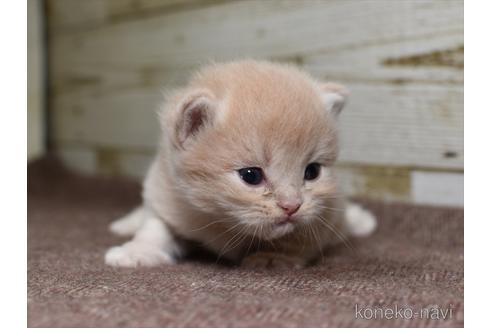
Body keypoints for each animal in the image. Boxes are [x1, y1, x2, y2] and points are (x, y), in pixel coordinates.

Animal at [105, 60, 376, 268]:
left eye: (312, 171)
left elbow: (300, 237)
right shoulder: (166, 194)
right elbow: (155, 227)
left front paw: (273, 257)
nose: (292, 206)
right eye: (251, 176)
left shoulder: (324, 214)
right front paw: (138, 251)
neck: (222, 220)